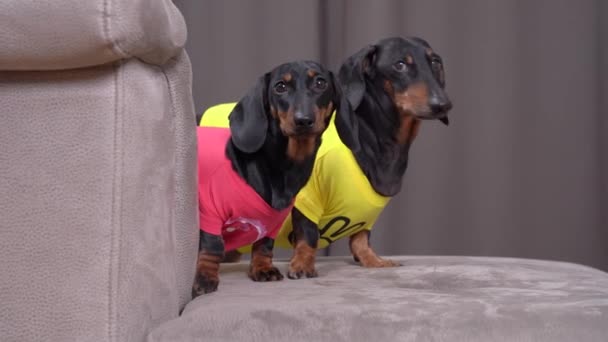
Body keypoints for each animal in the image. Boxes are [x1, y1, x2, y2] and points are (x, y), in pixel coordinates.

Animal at [191, 59, 356, 296]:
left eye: (320, 83)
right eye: (280, 87)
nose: (303, 120)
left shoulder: (272, 222)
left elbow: (264, 246)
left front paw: (262, 269)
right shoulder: (210, 209)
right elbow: (213, 245)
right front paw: (205, 277)